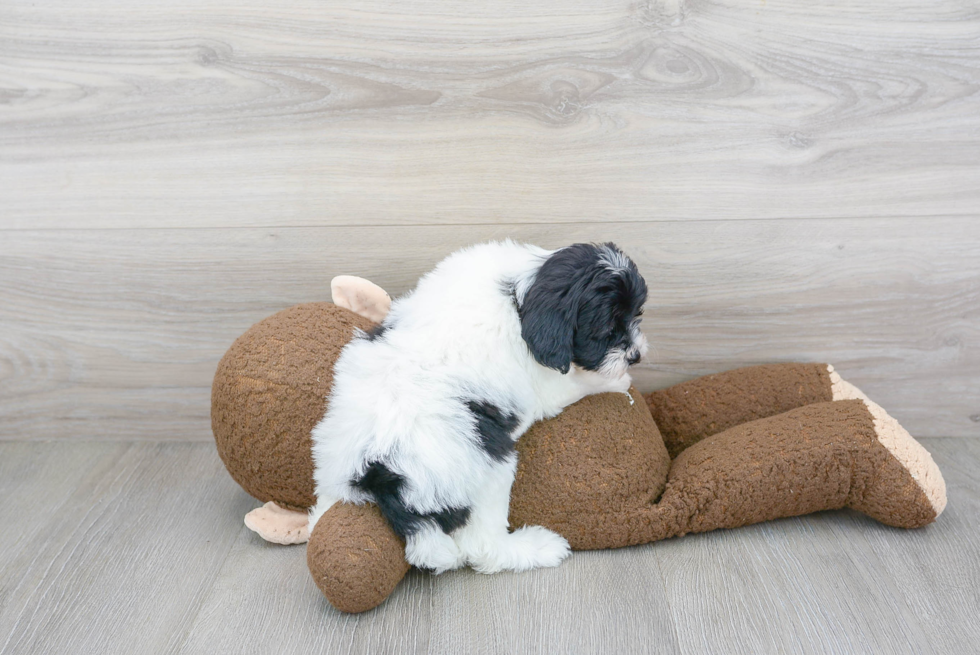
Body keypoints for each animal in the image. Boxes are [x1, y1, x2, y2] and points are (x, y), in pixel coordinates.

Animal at [310, 242, 648, 576]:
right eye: (606, 329)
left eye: (637, 314)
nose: (636, 355)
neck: (520, 295)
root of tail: (381, 473)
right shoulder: (546, 385)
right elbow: (580, 382)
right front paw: (617, 382)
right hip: (489, 466)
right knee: (484, 547)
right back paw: (536, 547)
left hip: (334, 463)